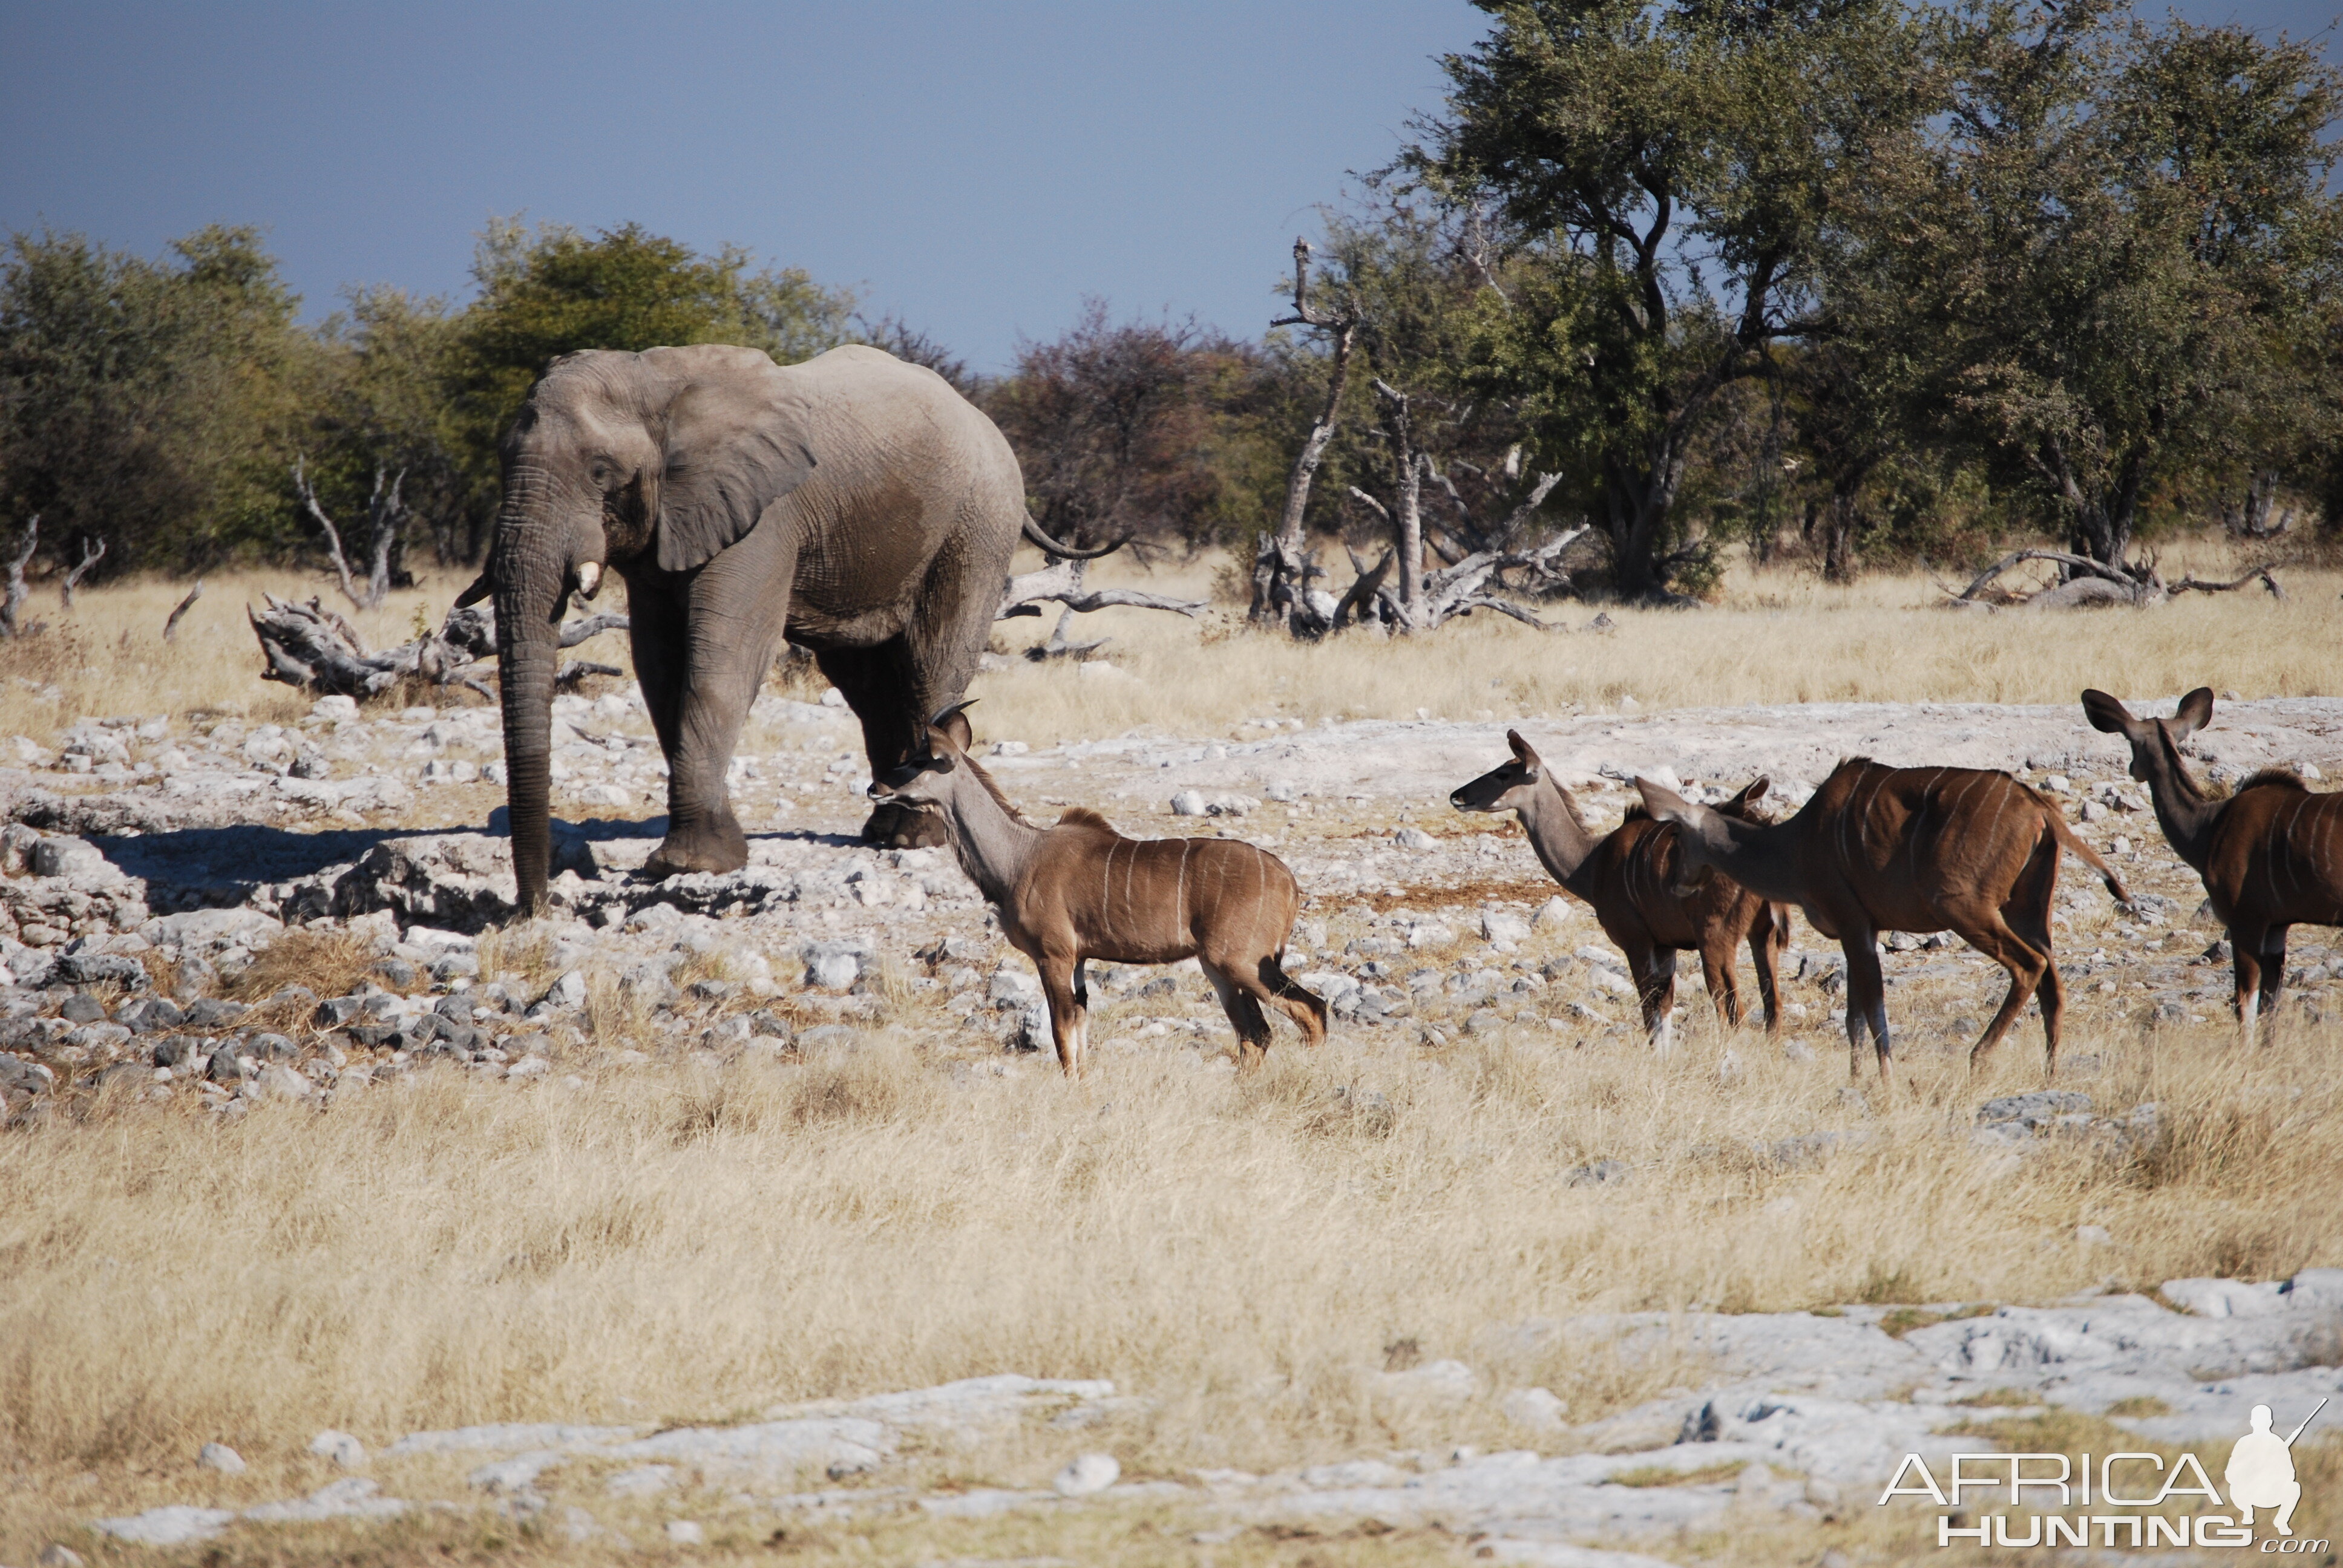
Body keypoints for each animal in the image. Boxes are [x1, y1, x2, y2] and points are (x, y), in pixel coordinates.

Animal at [480, 337, 1110, 909]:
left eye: (600, 471)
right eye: (502, 460)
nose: (538, 906)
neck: (657, 379)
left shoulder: (764, 520)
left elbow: (726, 656)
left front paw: (688, 866)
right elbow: (659, 665)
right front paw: (699, 858)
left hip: (977, 525)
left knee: (932, 663)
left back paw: (914, 838)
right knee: (866, 683)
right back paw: (883, 831)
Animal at [871, 698, 1331, 1078]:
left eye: (919, 761)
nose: (874, 787)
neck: (1020, 857)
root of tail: (1288, 881)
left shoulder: (1053, 955)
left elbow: (1061, 1034)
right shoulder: (1078, 959)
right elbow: (1079, 1029)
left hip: (1241, 962)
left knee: (1310, 1010)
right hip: (1218, 968)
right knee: (1256, 1033)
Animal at [1443, 727, 1790, 1045]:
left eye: (1503, 774)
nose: (1456, 796)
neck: (1592, 860)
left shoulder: (1636, 941)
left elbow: (1651, 1015)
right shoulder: (1664, 946)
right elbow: (1664, 1012)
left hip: (1715, 938)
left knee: (1734, 1014)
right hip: (1762, 934)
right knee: (1773, 1007)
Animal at [1630, 754, 2127, 1078]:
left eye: (1676, 834)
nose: (1675, 884)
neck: (1796, 845)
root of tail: (2041, 809)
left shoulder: (1853, 923)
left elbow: (1874, 1012)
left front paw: (1885, 1084)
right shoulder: (1863, 930)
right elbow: (1854, 1016)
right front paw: (1856, 1082)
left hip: (1963, 907)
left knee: (2029, 966)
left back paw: (1978, 1058)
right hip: (2027, 909)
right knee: (2054, 985)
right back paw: (2051, 1074)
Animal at [2089, 689, 2343, 1040]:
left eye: (2130, 742)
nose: (2132, 768)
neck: (2209, 825)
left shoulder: (2245, 921)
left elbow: (2245, 1004)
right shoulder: (2277, 926)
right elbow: (2270, 1005)